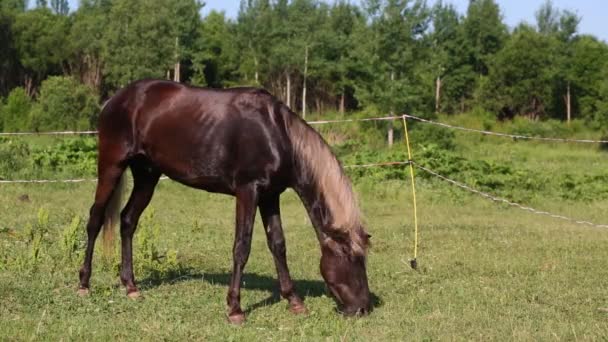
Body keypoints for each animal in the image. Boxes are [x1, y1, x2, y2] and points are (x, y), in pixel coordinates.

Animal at [76, 78, 370, 324]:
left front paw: (294, 301)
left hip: (147, 175)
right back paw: (84, 284)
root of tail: (115, 99)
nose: (363, 307)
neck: (277, 134)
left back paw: (131, 287)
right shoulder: (248, 192)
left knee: (128, 220)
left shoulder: (270, 195)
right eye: (353, 259)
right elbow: (242, 247)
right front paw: (235, 309)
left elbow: (278, 244)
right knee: (95, 219)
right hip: (111, 165)